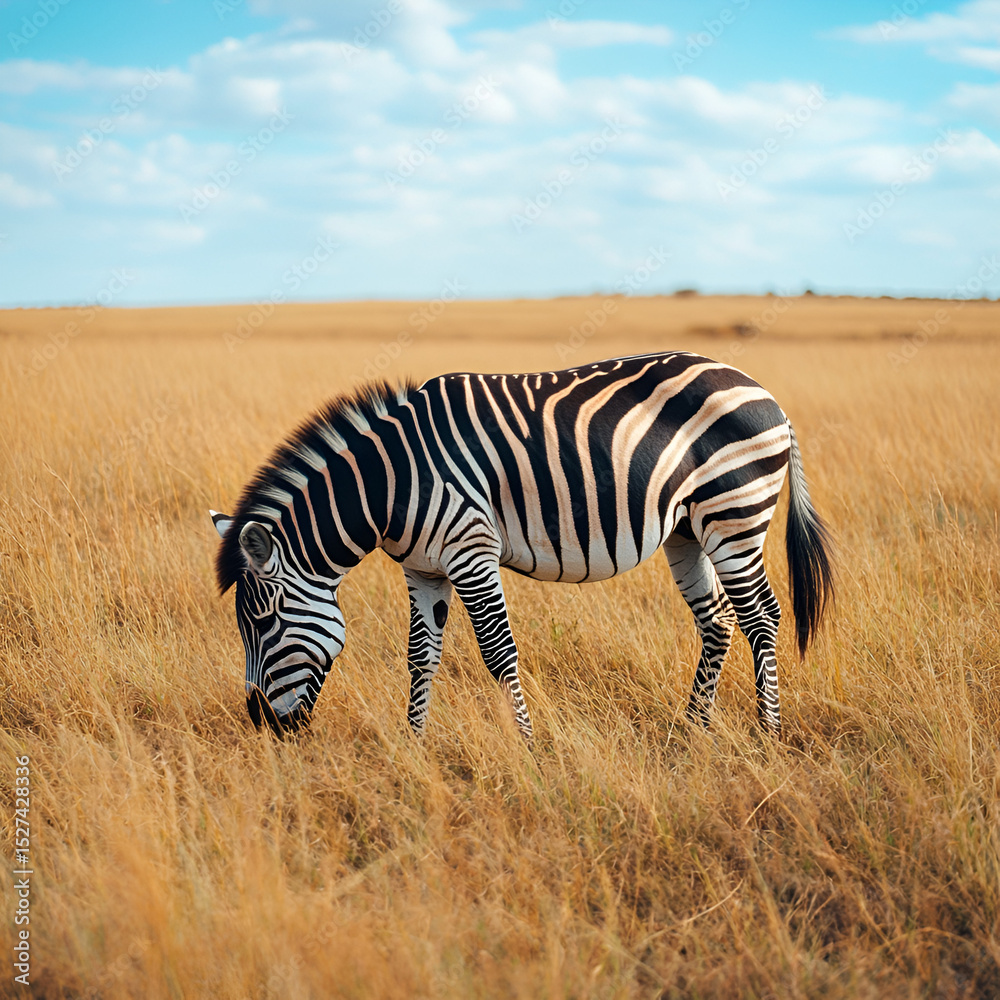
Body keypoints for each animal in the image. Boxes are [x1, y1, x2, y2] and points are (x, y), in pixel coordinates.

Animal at [211, 350, 832, 741]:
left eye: (263, 623)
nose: (261, 724)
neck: (389, 483)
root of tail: (763, 392)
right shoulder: (423, 569)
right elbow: (421, 655)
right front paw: (415, 744)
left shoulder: (471, 549)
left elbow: (497, 653)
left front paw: (529, 748)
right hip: (687, 528)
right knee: (718, 621)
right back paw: (693, 729)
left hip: (734, 512)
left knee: (761, 618)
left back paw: (767, 734)